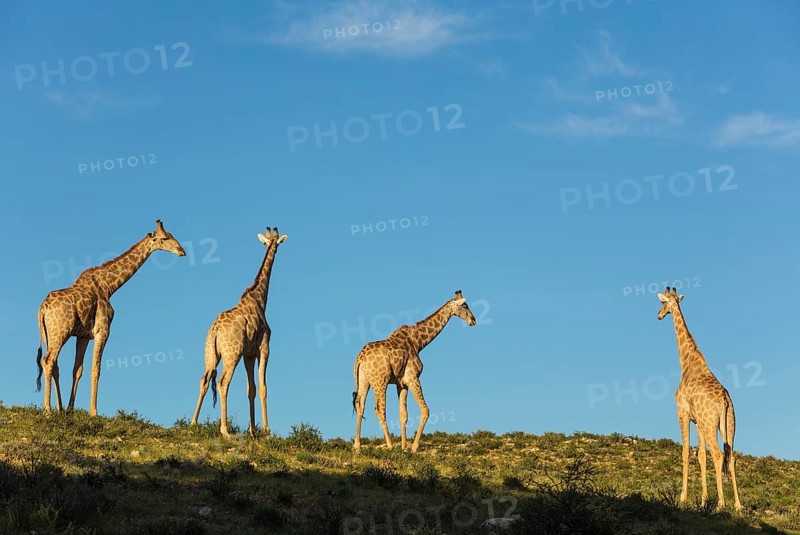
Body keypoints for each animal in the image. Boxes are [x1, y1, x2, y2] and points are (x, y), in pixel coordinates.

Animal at [35, 220, 186, 416]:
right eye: (165, 238)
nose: (182, 250)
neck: (110, 286)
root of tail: (43, 308)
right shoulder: (102, 330)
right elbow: (96, 369)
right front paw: (94, 412)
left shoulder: (83, 335)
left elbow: (78, 370)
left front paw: (70, 409)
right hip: (61, 331)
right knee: (48, 361)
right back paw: (47, 410)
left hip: (49, 335)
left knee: (55, 365)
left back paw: (58, 409)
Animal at [190, 226, 287, 438]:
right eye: (275, 244)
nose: (275, 250)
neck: (260, 299)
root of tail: (215, 330)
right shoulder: (263, 348)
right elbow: (263, 387)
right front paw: (266, 431)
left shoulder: (248, 354)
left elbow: (251, 389)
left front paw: (253, 431)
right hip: (231, 354)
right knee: (222, 382)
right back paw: (224, 431)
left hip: (211, 353)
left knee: (203, 380)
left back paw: (192, 423)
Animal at [352, 290, 476, 453]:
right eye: (465, 306)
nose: (473, 320)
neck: (419, 342)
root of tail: (359, 358)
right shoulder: (413, 377)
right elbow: (425, 410)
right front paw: (414, 447)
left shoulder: (401, 383)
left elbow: (403, 414)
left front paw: (404, 447)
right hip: (380, 380)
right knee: (379, 409)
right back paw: (389, 445)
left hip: (364, 380)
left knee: (360, 406)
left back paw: (357, 446)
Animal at [657, 286, 742, 511]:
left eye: (662, 303)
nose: (659, 315)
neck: (686, 362)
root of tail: (724, 400)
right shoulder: (697, 421)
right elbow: (701, 456)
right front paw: (703, 500)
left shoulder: (683, 413)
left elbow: (686, 453)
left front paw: (682, 498)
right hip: (728, 424)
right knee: (731, 456)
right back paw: (738, 505)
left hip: (711, 423)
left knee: (719, 454)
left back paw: (721, 504)